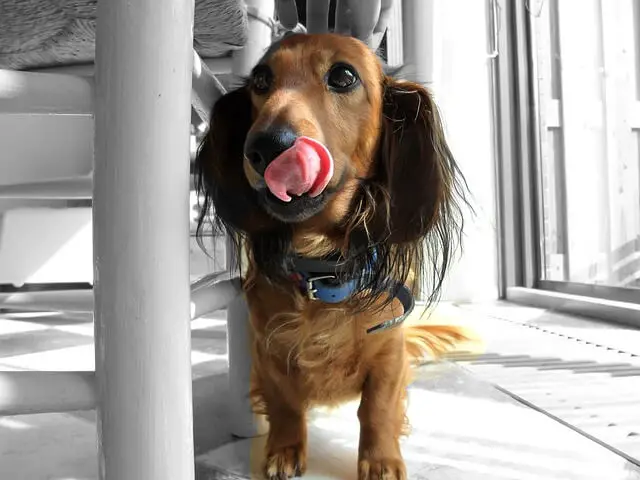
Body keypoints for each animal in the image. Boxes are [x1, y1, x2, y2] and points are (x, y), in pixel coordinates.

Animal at [195, 31, 470, 478]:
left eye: (343, 76)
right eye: (261, 81)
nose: (264, 148)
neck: (323, 272)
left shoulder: (389, 351)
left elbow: (376, 408)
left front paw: (380, 460)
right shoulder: (268, 351)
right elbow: (285, 403)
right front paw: (284, 450)